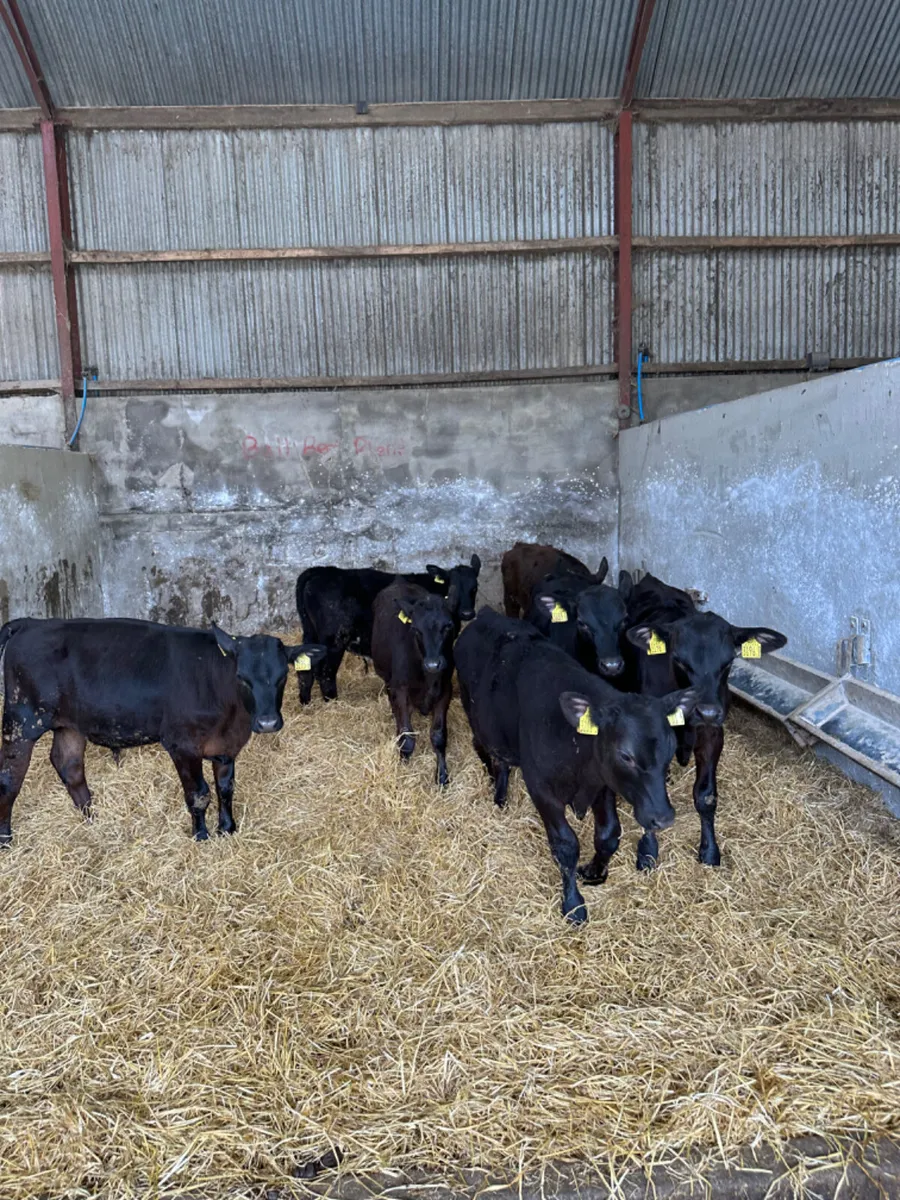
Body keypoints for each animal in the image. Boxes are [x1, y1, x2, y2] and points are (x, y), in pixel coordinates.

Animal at [0, 617, 325, 843]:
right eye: (242, 677)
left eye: (283, 676)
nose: (268, 722)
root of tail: (31, 623)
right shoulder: (182, 745)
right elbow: (199, 794)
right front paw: (201, 836)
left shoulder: (225, 746)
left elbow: (226, 788)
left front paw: (228, 829)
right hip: (21, 722)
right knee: (9, 778)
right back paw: (6, 838)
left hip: (69, 724)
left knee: (69, 766)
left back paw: (92, 820)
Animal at [295, 555, 480, 703]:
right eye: (452, 586)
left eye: (475, 587)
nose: (467, 613)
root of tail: (320, 571)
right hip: (334, 638)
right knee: (325, 673)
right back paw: (332, 703)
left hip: (310, 633)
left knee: (306, 670)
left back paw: (306, 703)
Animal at [371, 581, 458, 786]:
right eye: (416, 630)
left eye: (448, 626)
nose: (433, 664)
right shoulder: (400, 689)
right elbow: (406, 736)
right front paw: (403, 769)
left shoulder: (445, 690)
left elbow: (439, 736)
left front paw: (442, 776)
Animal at [456, 609, 696, 924]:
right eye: (626, 756)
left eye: (670, 748)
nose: (663, 817)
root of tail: (487, 614)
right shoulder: (542, 790)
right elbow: (566, 845)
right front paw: (573, 903)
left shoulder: (602, 785)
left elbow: (608, 835)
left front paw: (595, 871)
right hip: (476, 718)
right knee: (493, 756)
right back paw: (499, 794)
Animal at [622, 573, 787, 868]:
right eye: (678, 659)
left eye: (729, 661)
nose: (707, 712)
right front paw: (648, 851)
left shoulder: (713, 734)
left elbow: (706, 795)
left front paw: (710, 850)